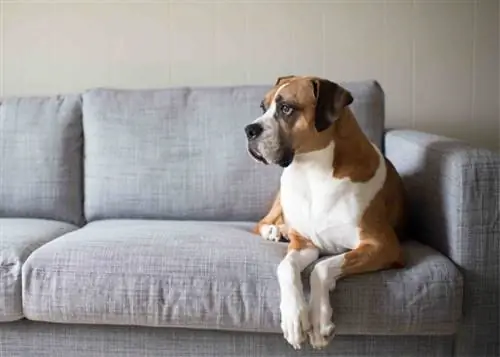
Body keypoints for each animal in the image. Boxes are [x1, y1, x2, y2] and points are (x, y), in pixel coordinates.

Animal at [243, 74, 406, 348]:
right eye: (263, 107)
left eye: (286, 108)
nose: (249, 130)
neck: (312, 171)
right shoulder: (304, 243)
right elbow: (285, 267)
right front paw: (294, 318)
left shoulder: (382, 246)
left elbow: (321, 268)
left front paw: (318, 320)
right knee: (262, 223)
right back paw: (275, 231)